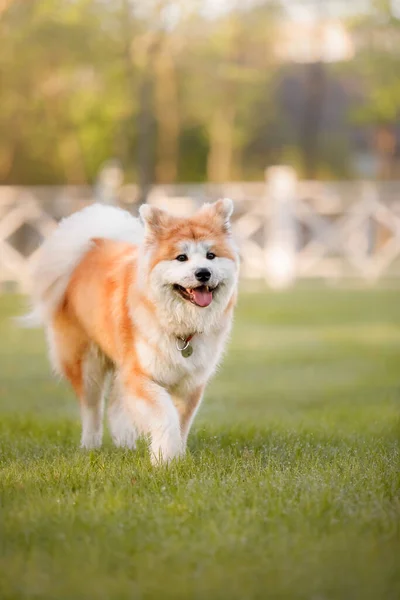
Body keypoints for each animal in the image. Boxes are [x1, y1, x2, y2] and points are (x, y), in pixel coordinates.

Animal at [28, 199, 241, 462]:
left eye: (211, 256)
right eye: (181, 257)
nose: (203, 272)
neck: (181, 327)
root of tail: (91, 246)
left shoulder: (189, 382)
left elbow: (181, 423)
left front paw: (177, 455)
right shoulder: (140, 374)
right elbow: (165, 416)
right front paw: (165, 459)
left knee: (115, 406)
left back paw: (125, 444)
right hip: (87, 364)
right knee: (92, 409)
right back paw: (90, 446)